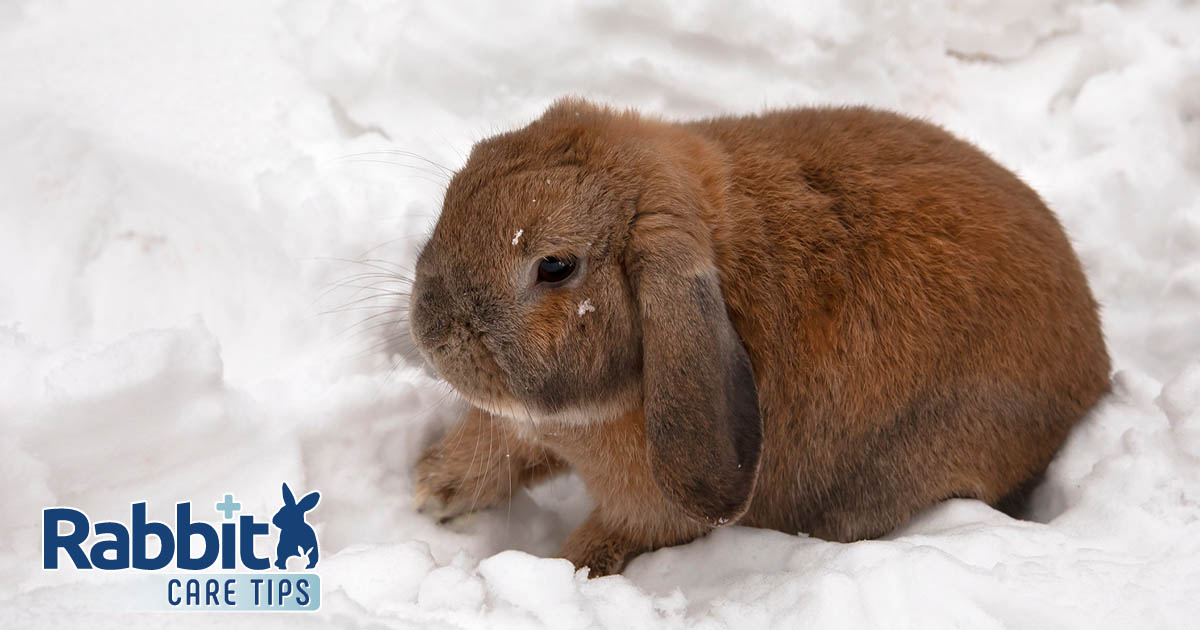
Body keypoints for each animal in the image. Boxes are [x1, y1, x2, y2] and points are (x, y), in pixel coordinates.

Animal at [408, 97, 1108, 573]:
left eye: (554, 266)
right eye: (466, 176)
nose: (429, 330)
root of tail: (1094, 361)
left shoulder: (651, 510)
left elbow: (609, 536)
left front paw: (563, 569)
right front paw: (430, 492)